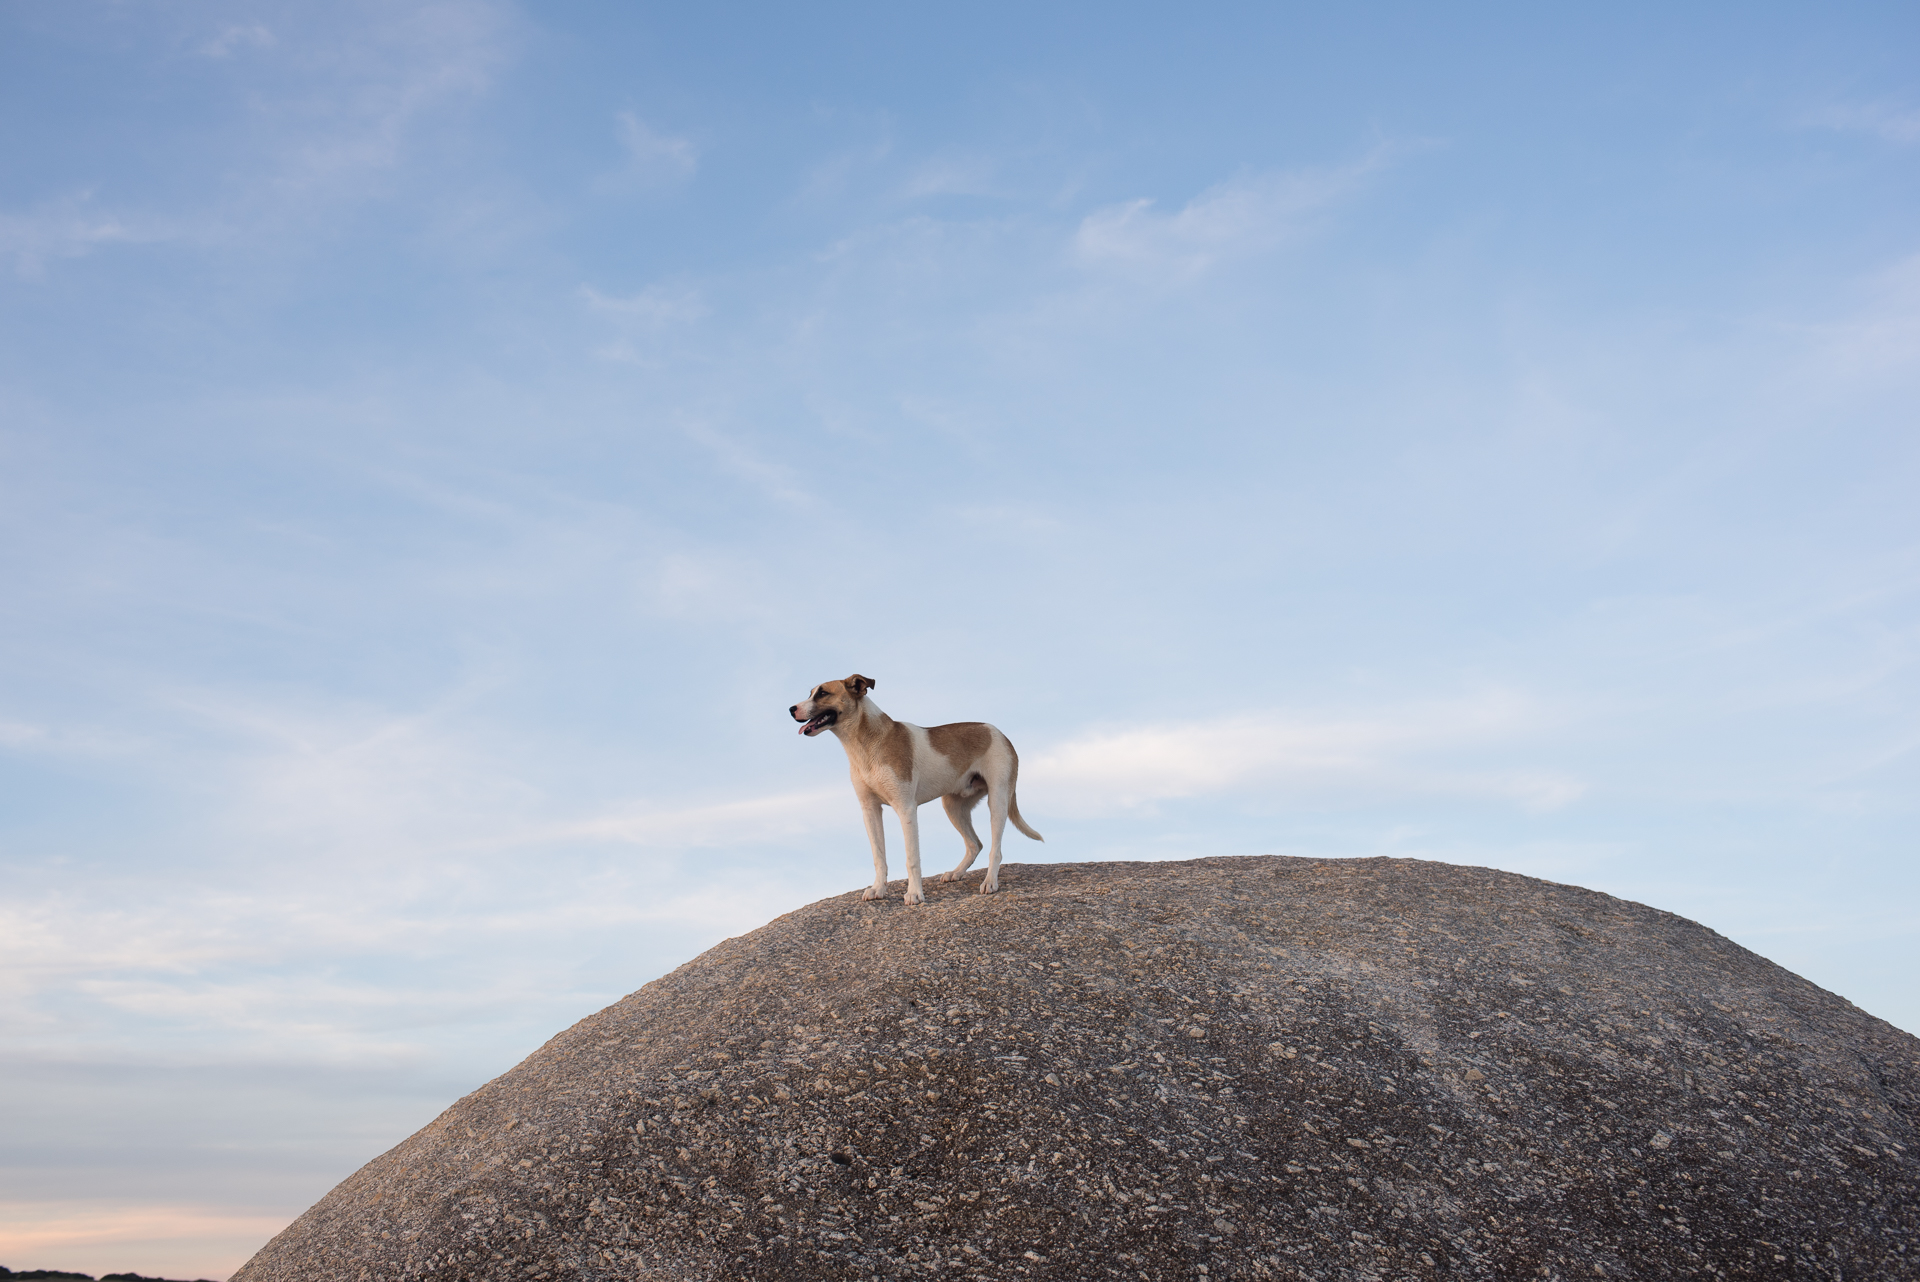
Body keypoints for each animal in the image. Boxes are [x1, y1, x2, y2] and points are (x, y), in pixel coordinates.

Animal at [787, 675, 1044, 905]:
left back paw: (990, 882)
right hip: (953, 806)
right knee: (975, 844)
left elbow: (912, 858)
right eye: (810, 692)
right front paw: (878, 889)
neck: (868, 743)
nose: (791, 709)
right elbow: (879, 856)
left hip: (998, 801)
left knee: (994, 849)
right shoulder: (870, 810)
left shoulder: (906, 809)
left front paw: (914, 894)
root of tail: (1001, 734)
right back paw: (956, 873)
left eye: (823, 693)